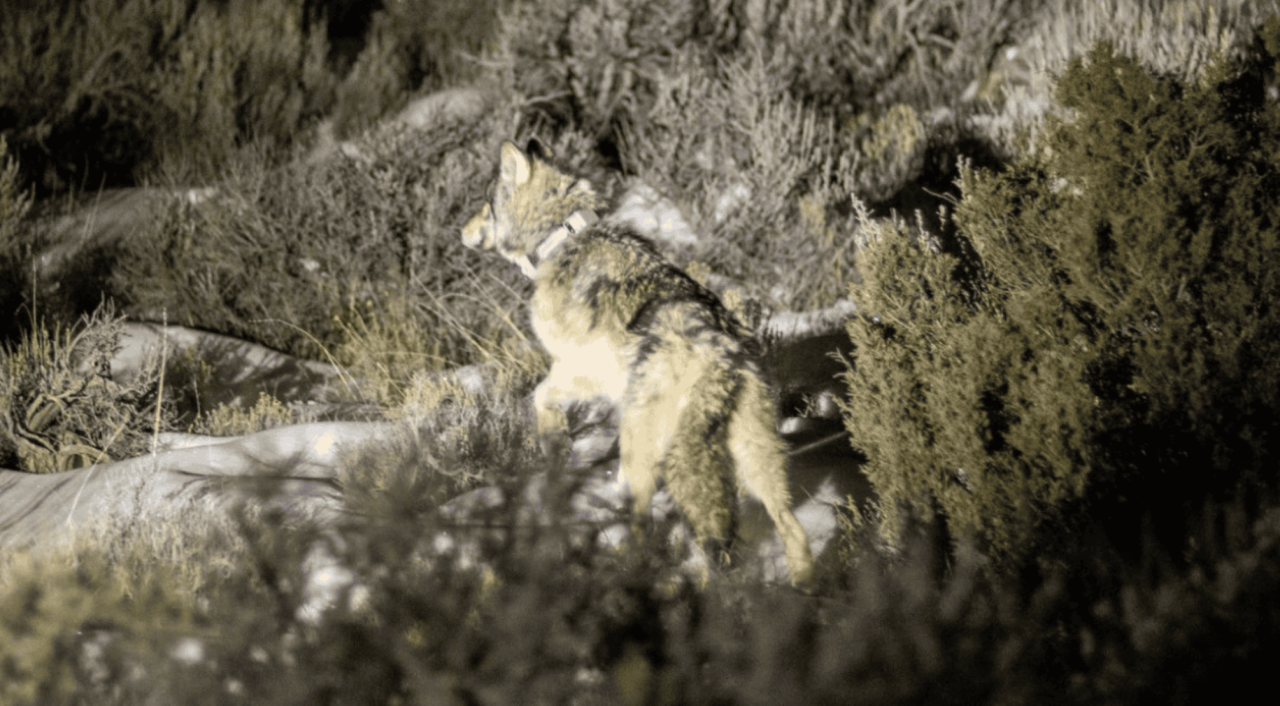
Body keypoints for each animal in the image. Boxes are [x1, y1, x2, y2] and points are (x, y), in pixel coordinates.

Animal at [462, 138, 813, 586]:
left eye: (485, 206)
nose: (460, 230)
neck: (560, 236)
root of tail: (716, 354)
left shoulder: (581, 371)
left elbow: (539, 396)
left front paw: (554, 442)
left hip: (650, 446)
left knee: (648, 524)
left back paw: (628, 565)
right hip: (756, 459)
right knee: (788, 524)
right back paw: (800, 583)